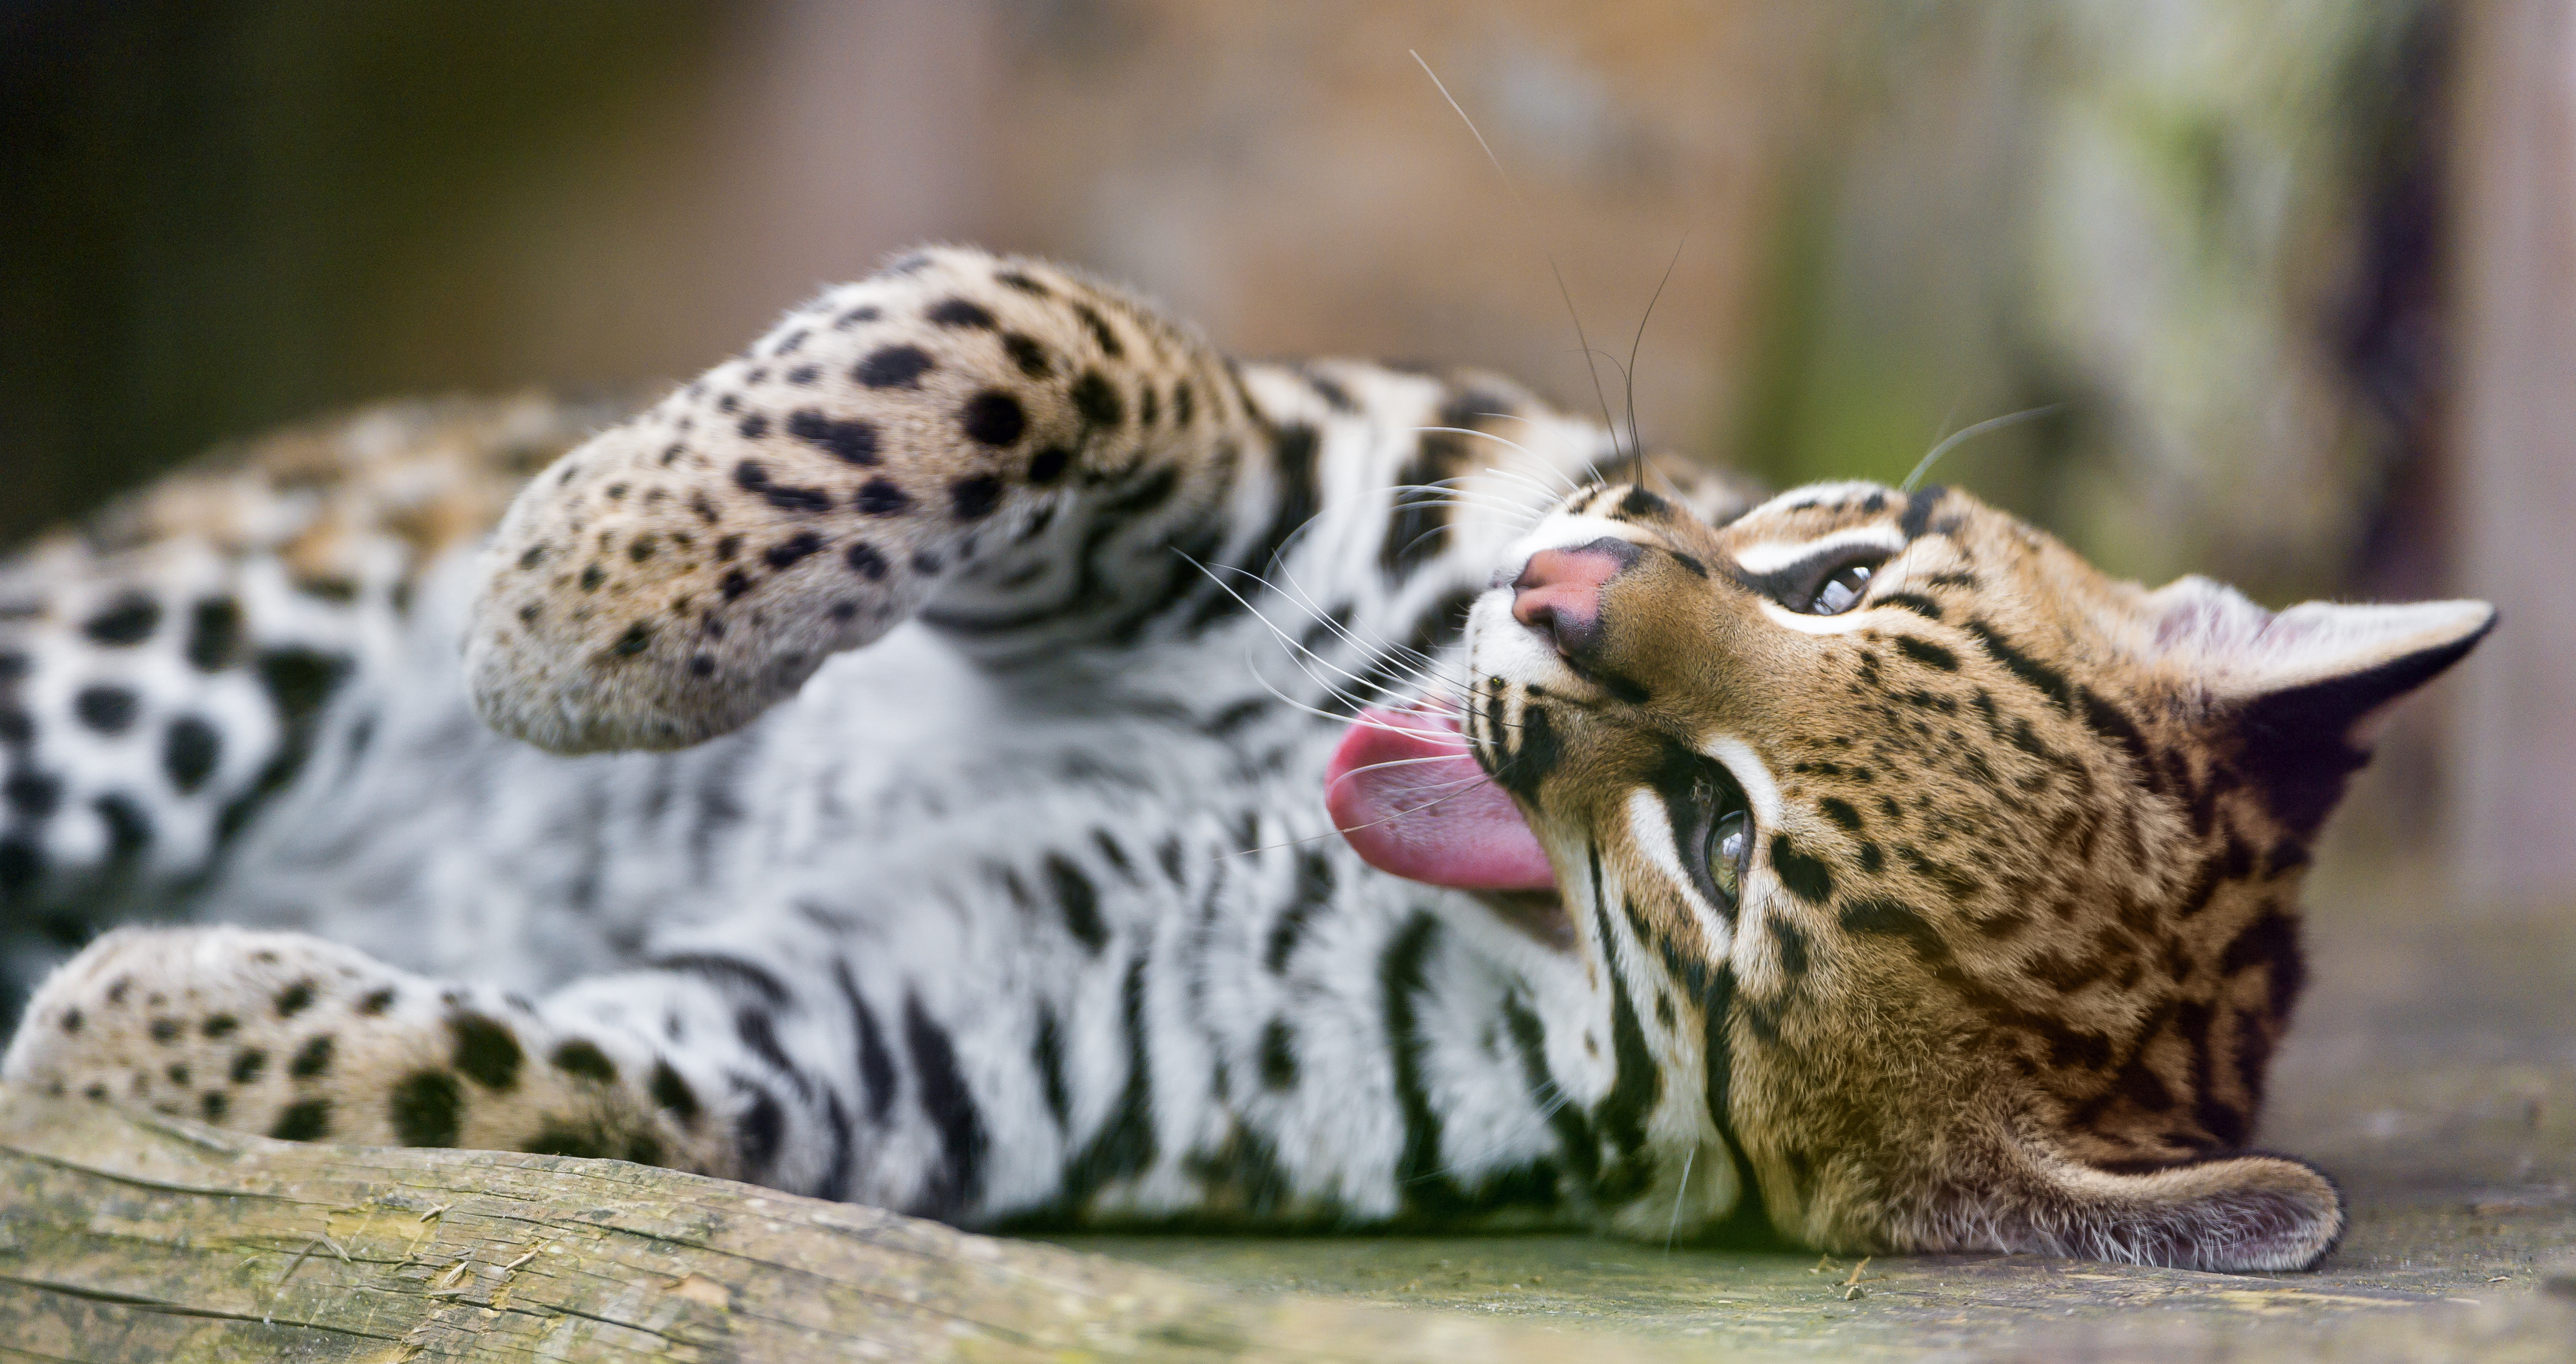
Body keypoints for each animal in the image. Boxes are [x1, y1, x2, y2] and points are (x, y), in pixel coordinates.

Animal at [0, 246, 2491, 1272]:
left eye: (1718, 838)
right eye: (1837, 578)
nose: (1559, 594)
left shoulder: (923, 1028)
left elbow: (551, 1077)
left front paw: (132, 1023)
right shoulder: (1317, 443)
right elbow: (995, 334)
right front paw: (586, 591)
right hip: (170, 637)